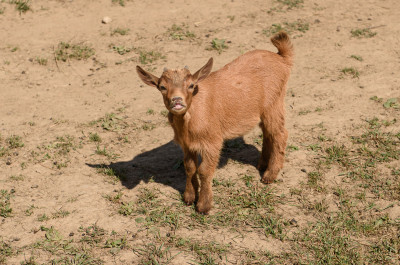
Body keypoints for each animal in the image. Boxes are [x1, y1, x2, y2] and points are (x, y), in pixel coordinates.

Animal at [138, 31, 294, 213]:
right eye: (162, 87)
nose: (177, 100)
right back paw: (262, 164)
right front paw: (189, 197)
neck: (190, 117)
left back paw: (270, 175)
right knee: (268, 133)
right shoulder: (186, 144)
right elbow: (190, 167)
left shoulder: (212, 142)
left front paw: (204, 206)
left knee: (280, 133)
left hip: (274, 103)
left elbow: (204, 170)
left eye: (191, 85)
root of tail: (281, 57)